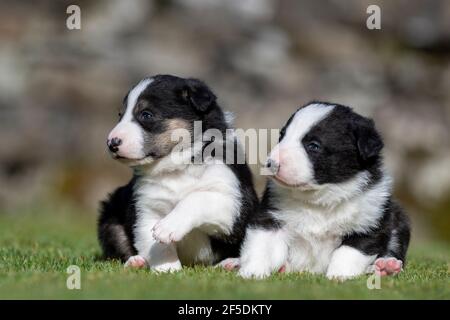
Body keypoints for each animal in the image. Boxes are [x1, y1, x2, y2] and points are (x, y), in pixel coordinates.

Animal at [100, 75, 258, 272]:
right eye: (120, 115)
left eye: (146, 114)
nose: (111, 143)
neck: (177, 166)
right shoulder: (146, 207)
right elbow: (156, 244)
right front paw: (167, 270)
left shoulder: (234, 202)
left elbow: (198, 197)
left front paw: (168, 227)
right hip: (110, 219)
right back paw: (136, 262)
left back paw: (230, 263)